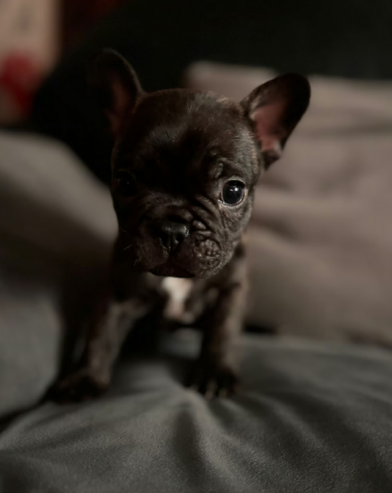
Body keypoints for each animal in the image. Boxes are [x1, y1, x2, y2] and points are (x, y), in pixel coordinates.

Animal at [56, 50, 310, 400]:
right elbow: (101, 331)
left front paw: (215, 373)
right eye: (125, 183)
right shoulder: (119, 290)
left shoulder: (232, 290)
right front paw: (85, 377)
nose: (172, 229)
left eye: (232, 192)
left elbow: (223, 330)